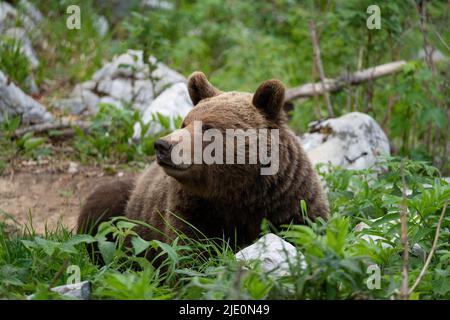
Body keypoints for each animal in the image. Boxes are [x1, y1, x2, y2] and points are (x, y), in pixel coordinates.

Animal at [77, 72, 328, 252]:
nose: (163, 145)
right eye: (184, 123)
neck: (239, 193)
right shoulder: (194, 211)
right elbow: (190, 251)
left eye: (208, 127)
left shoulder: (291, 203)